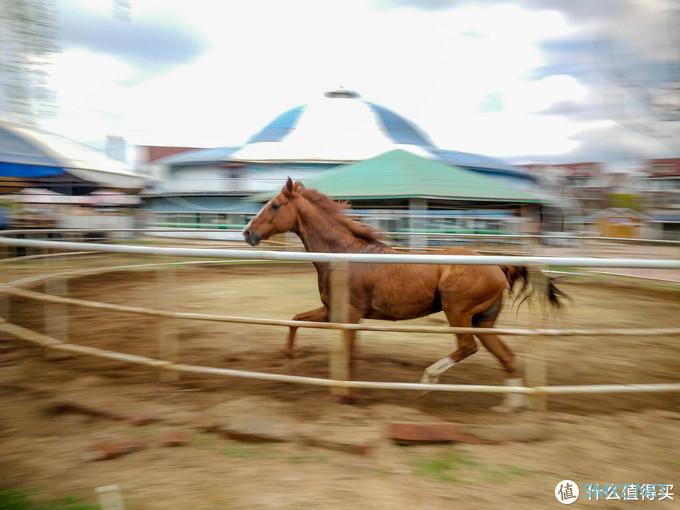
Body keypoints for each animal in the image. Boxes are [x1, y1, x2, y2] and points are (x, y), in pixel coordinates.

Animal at [244, 179, 564, 410]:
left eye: (275, 205)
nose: (248, 233)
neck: (344, 254)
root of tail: (497, 266)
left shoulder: (350, 315)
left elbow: (347, 353)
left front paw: (347, 395)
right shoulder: (332, 310)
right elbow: (295, 320)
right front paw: (288, 358)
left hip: (458, 313)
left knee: (467, 348)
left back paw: (426, 383)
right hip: (482, 320)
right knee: (506, 356)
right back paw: (510, 409)